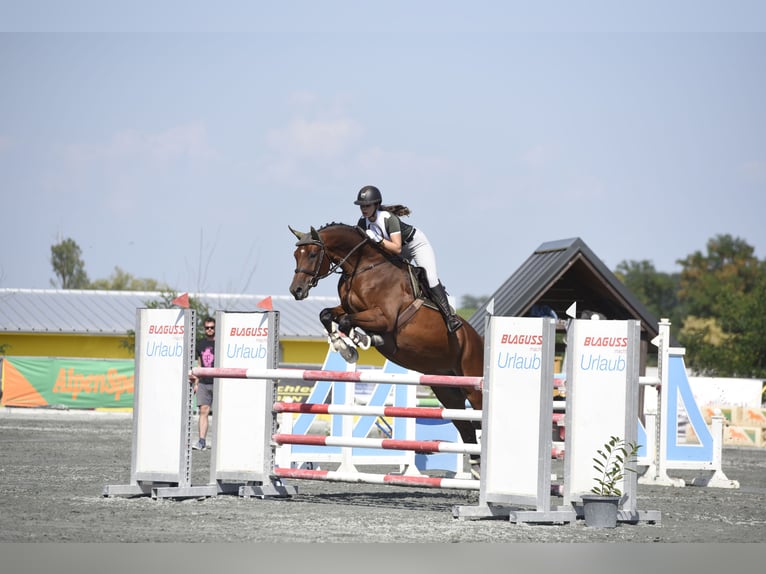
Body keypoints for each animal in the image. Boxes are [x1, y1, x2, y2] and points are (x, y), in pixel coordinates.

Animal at [290, 223, 486, 474]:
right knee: (464, 425)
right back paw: (476, 467)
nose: (296, 290)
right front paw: (343, 344)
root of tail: (478, 339)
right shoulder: (347, 308)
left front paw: (358, 342)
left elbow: (347, 322)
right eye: (296, 254)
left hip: (473, 386)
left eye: (313, 254)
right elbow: (328, 314)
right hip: (446, 390)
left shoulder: (384, 318)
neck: (362, 268)